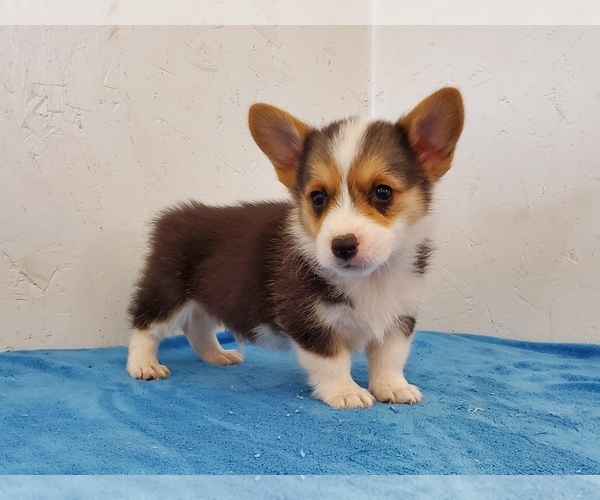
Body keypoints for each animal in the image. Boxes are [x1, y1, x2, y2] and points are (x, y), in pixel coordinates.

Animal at [125, 88, 464, 408]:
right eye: (318, 198)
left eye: (383, 192)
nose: (342, 246)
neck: (369, 280)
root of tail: (175, 216)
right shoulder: (308, 321)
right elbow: (333, 360)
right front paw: (346, 392)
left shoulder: (399, 318)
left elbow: (389, 358)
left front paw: (393, 387)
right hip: (168, 292)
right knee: (145, 325)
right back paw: (144, 365)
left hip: (205, 296)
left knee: (197, 326)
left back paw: (217, 355)